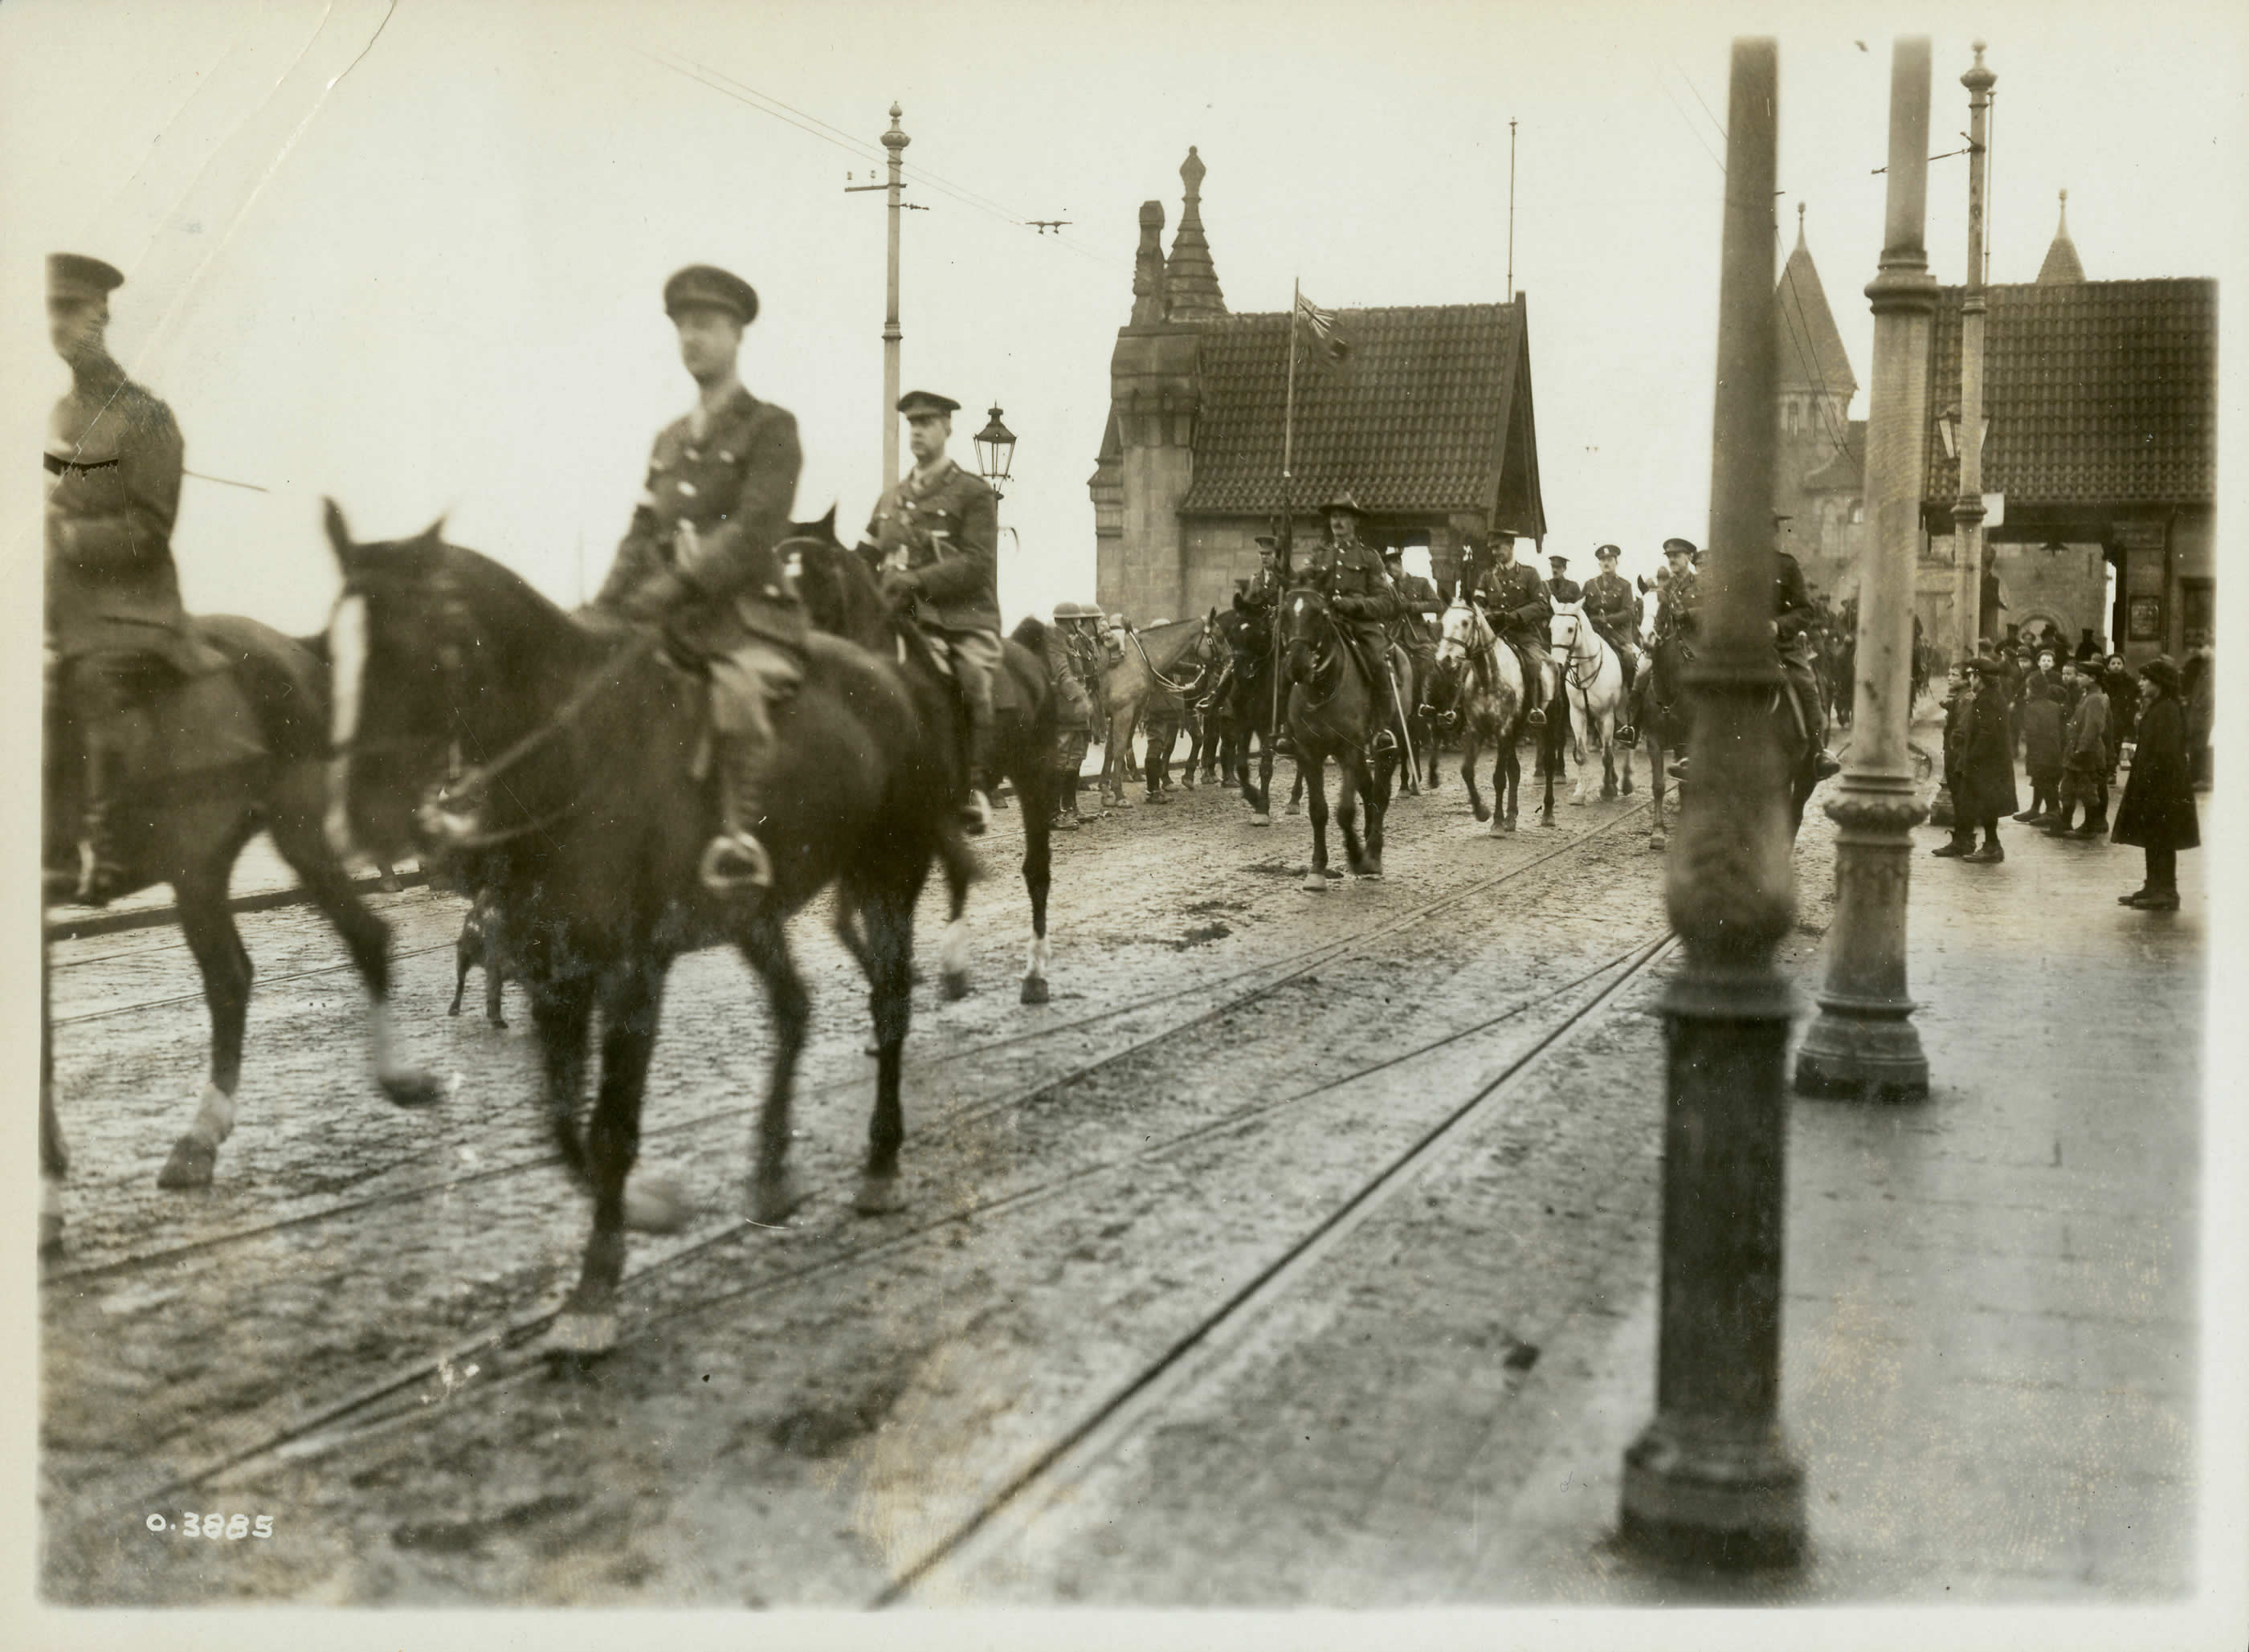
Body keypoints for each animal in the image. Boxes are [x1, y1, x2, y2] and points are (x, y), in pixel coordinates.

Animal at [321, 503, 962, 1357]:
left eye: (427, 648)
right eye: (333, 649)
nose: (362, 821)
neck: (576, 751)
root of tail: (897, 684)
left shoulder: (631, 974)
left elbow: (610, 1127)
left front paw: (594, 1289)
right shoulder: (551, 971)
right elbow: (564, 1120)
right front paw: (646, 1212)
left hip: (887, 877)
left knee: (889, 1006)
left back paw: (881, 1163)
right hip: (754, 913)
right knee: (794, 1009)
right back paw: (771, 1171)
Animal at [1286, 580, 1385, 890]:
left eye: (1322, 614)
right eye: (1284, 613)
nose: (1297, 666)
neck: (1324, 689)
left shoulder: (1350, 749)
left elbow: (1345, 811)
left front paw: (1356, 856)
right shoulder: (1309, 753)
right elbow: (1318, 811)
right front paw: (1317, 869)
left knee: (1381, 791)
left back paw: (1373, 853)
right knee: (1369, 789)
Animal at [1556, 606, 1628, 814]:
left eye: (1571, 629)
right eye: (1551, 626)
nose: (1557, 664)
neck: (1587, 670)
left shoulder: (1607, 715)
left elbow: (1607, 755)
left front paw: (1608, 790)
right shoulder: (1577, 714)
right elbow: (1582, 754)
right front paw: (1579, 794)